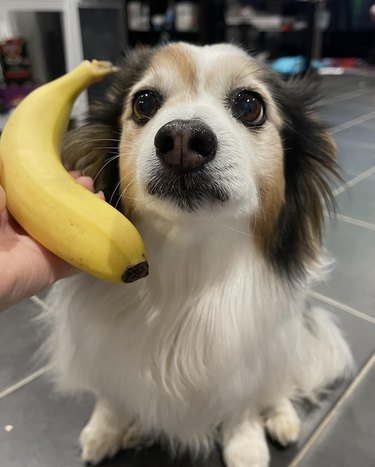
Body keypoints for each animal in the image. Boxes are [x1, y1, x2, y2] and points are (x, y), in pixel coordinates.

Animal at [44, 42, 356, 466]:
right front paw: (105, 431)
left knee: (277, 383)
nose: (182, 138)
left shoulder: (243, 361)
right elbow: (112, 397)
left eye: (249, 105)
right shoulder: (110, 352)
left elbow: (243, 403)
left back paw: (282, 418)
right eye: (144, 102)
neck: (189, 260)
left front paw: (246, 445)